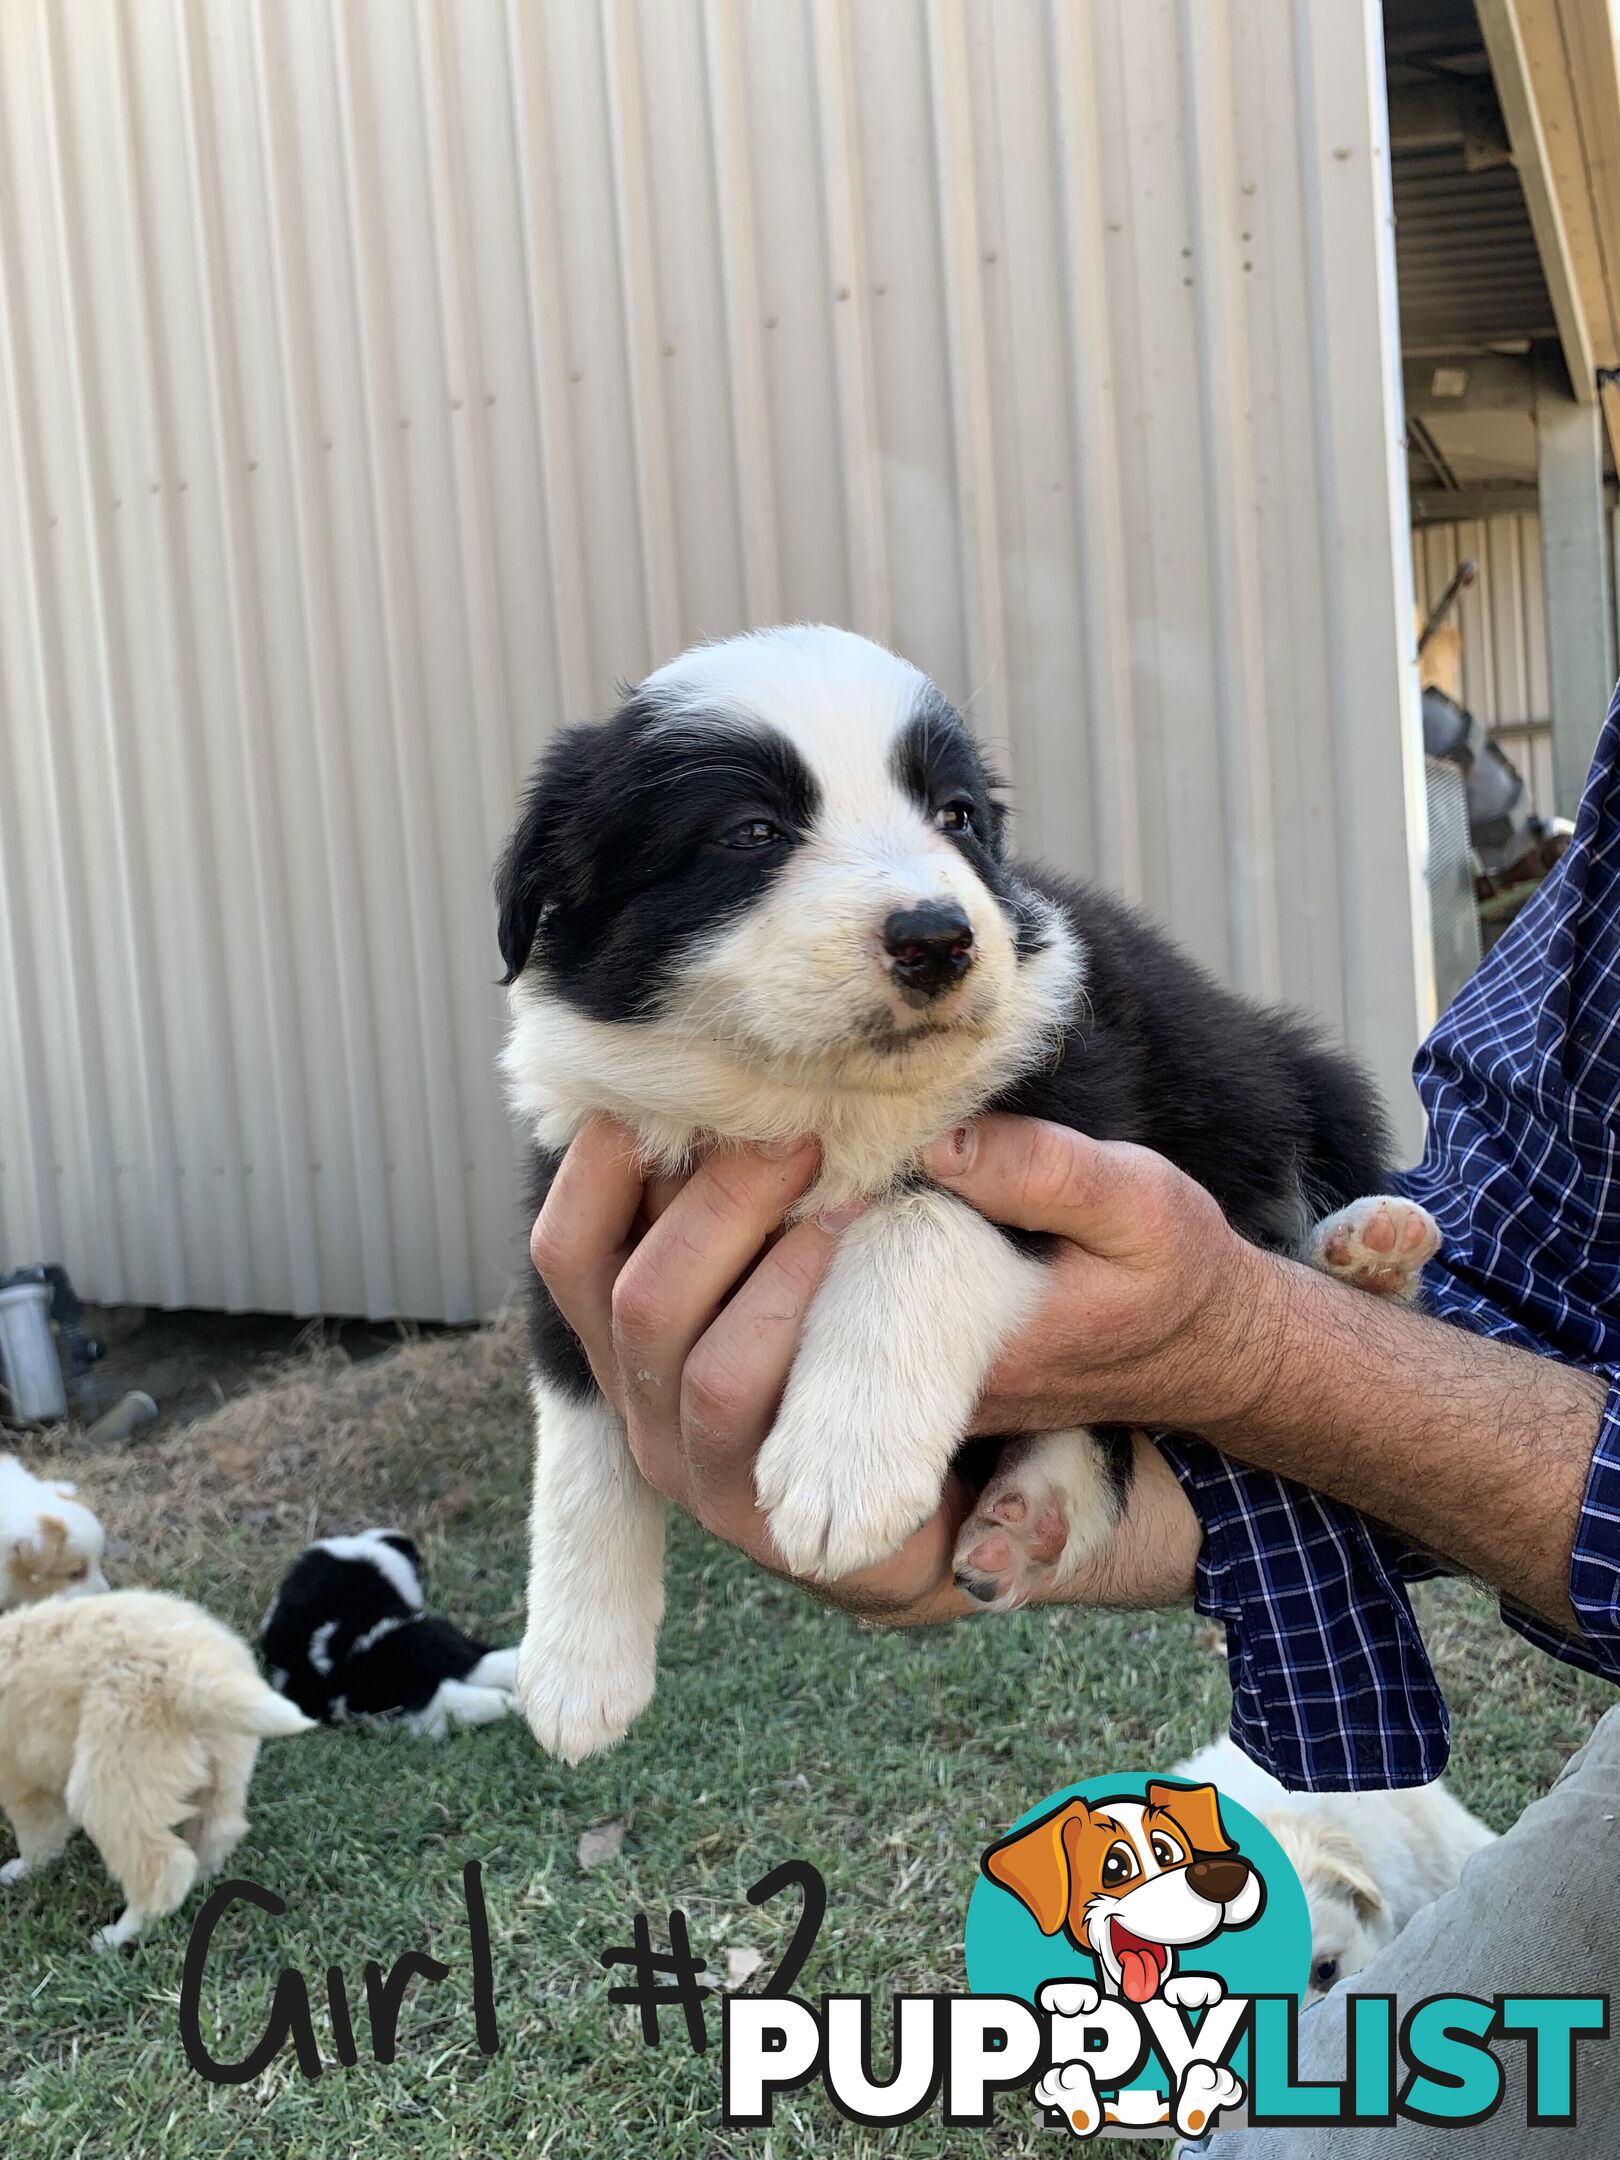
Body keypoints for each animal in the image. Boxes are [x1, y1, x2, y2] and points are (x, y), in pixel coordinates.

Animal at [0, 1589, 313, 1961]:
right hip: (225, 1765)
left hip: (113, 1777)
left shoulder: (19, 1780)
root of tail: (189, 1669)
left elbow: (36, 1834)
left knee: (164, 1865)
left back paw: (118, 1935)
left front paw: (22, 1870)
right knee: (218, 1828)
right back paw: (203, 1875)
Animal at [498, 622, 1442, 1753]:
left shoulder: (1075, 1114)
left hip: (1298, 1073)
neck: (815, 1098)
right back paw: (1035, 1509)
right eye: (751, 831)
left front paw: (845, 1458)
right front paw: (574, 1666)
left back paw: (1365, 1250)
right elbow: (581, 1424)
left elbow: (920, 1216)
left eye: (955, 817)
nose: (939, 937)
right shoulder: (578, 1211)